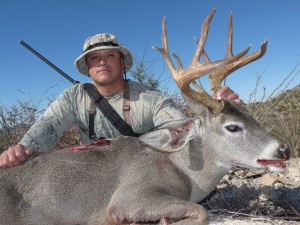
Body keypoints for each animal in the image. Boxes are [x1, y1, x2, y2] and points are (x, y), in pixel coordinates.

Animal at [0, 7, 290, 224]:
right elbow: (201, 212)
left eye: (250, 115)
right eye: (232, 127)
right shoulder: (129, 197)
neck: (183, 172)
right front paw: (163, 220)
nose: (284, 150)